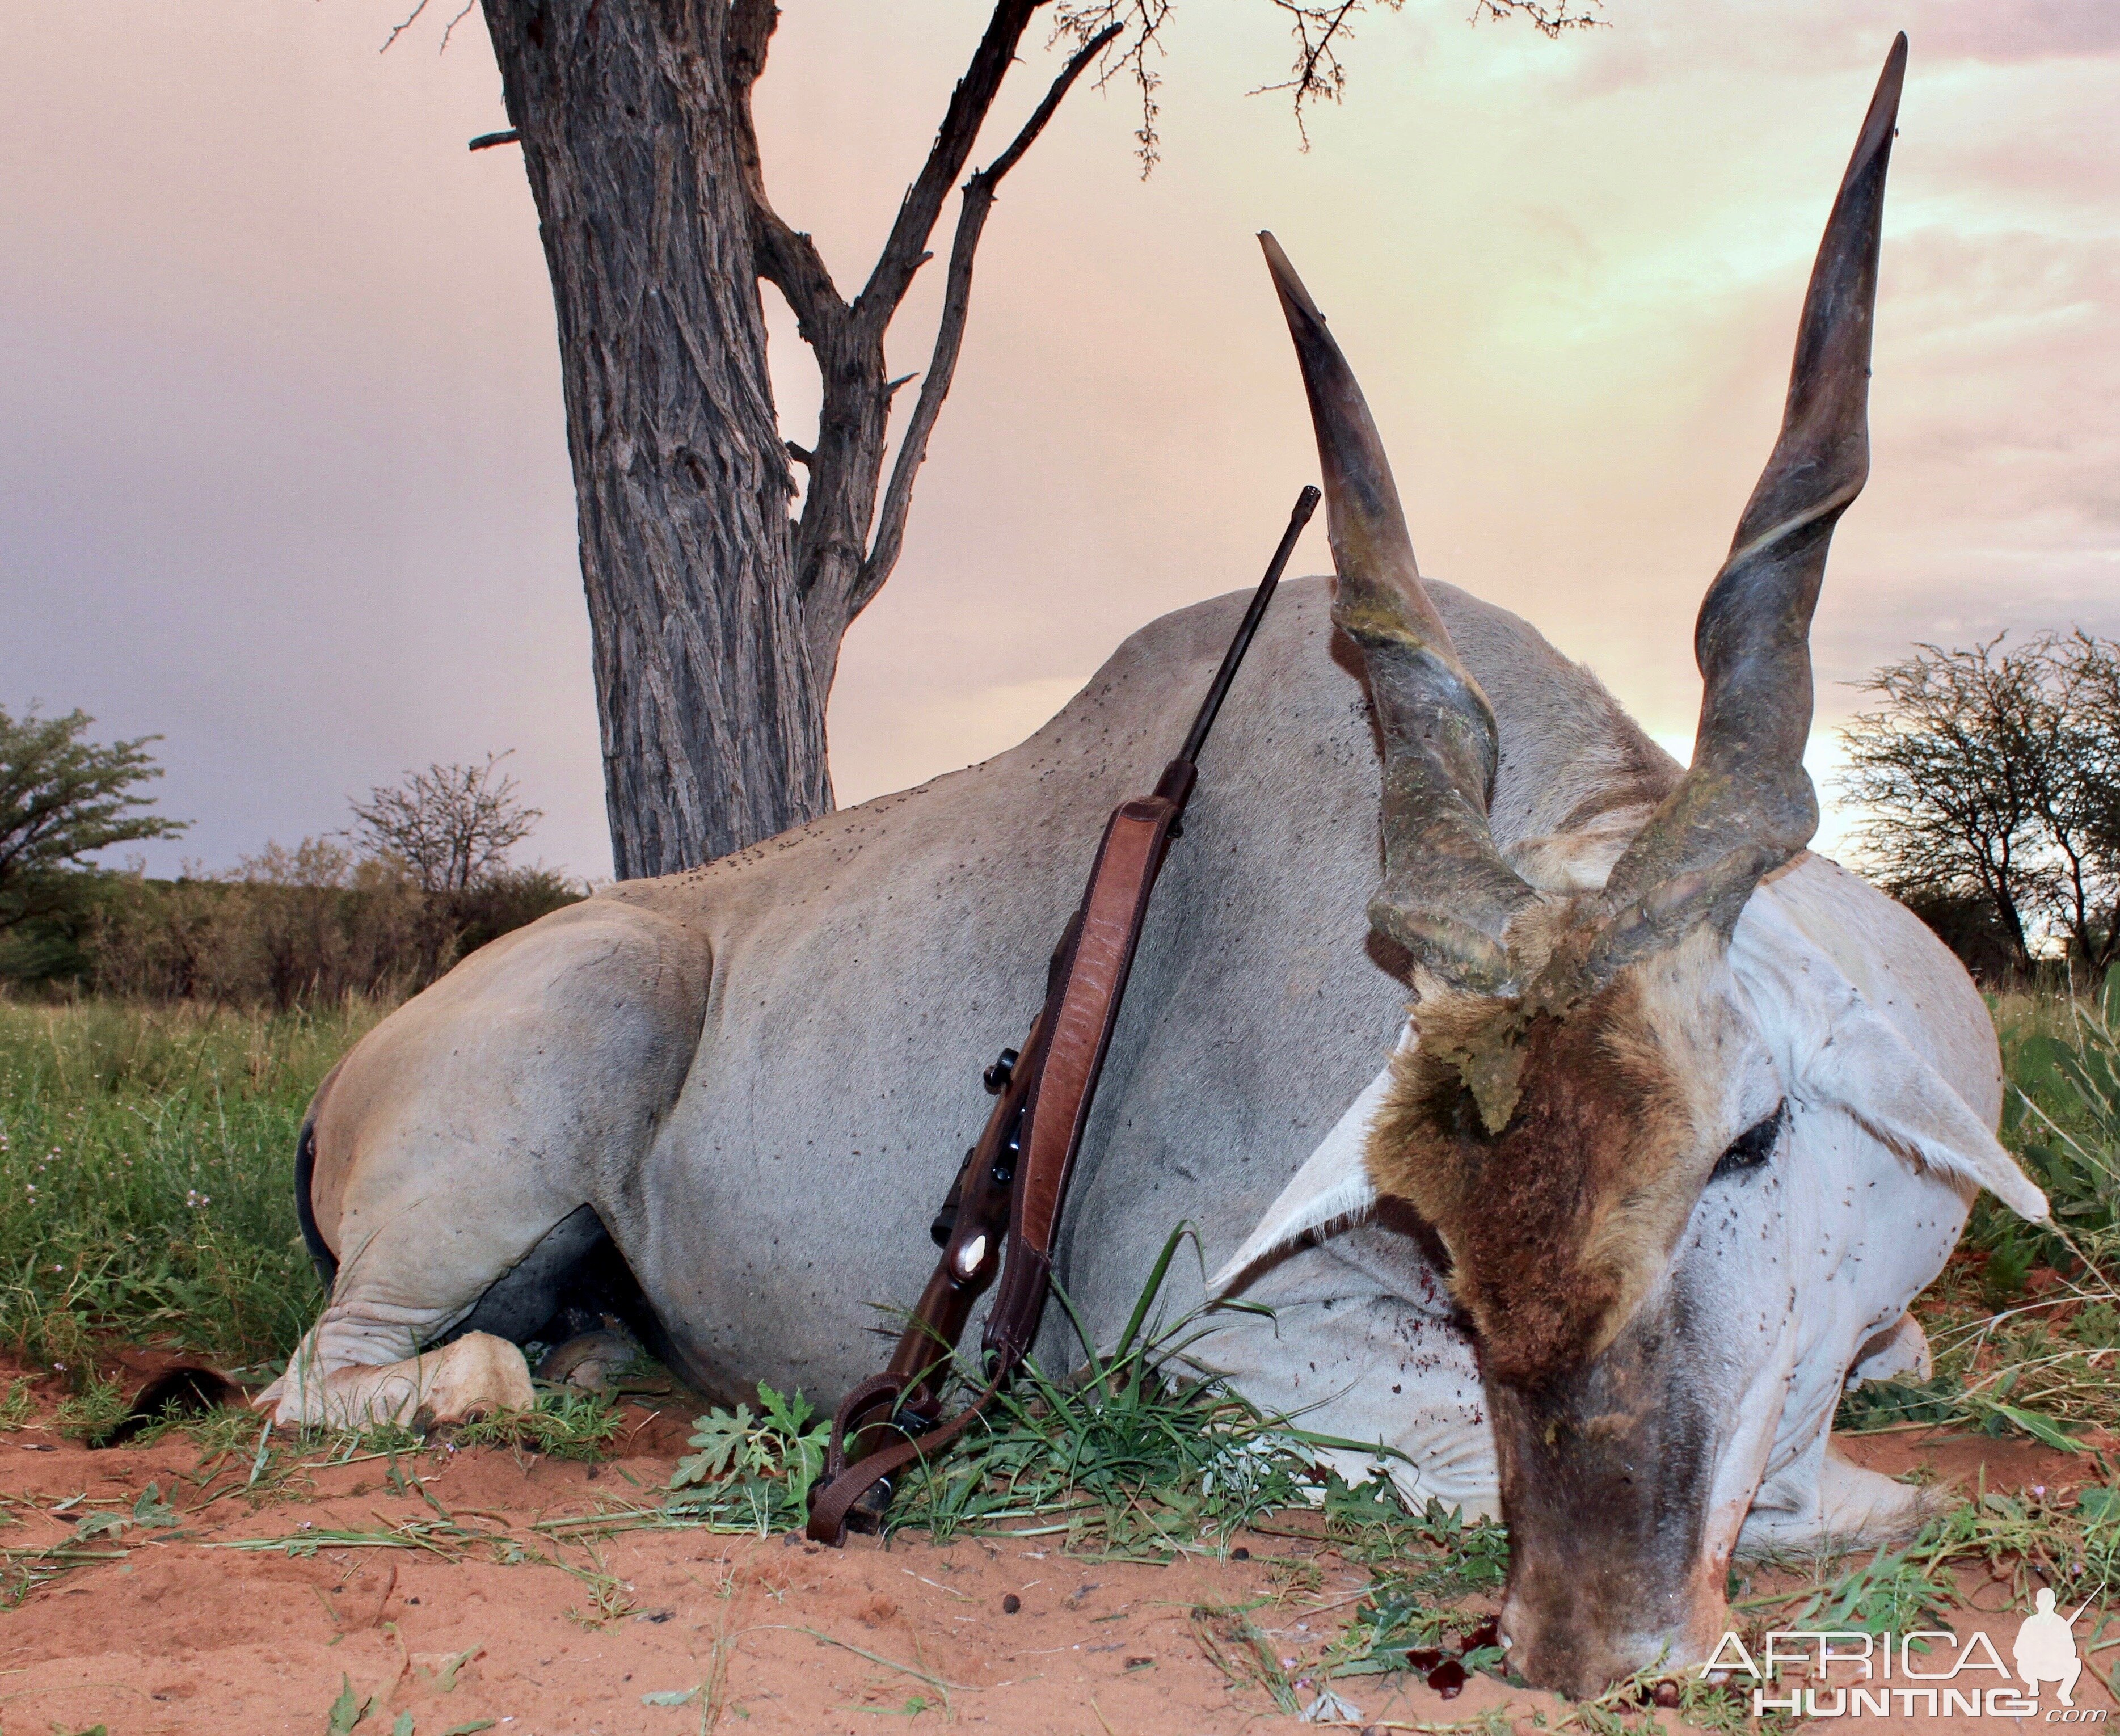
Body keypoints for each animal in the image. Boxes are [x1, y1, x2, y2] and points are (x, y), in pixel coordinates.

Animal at [265, 37, 2035, 1696]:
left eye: (1749, 1139)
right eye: (1442, 1213)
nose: (1595, 1637)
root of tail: (342, 1081)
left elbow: (1886, 1368)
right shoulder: (1206, 1337)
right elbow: (1758, 1472)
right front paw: (1885, 1499)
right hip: (531, 1100)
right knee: (332, 1379)